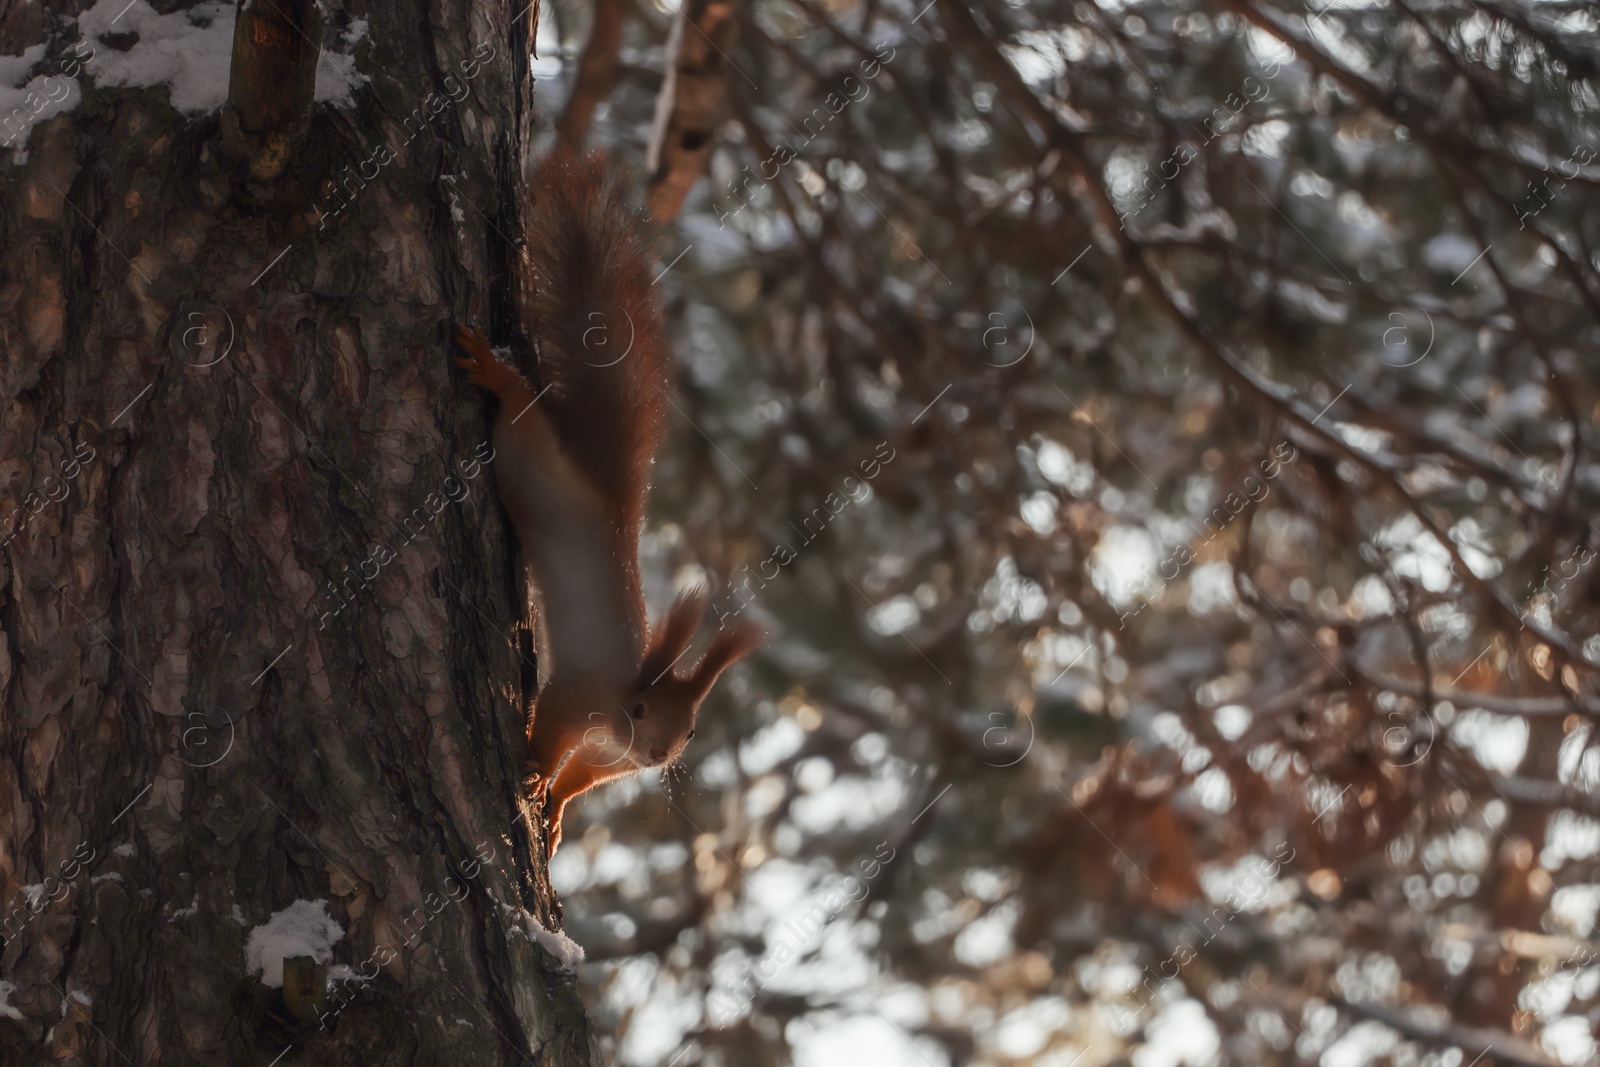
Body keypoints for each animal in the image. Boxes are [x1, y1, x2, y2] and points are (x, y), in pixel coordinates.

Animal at [454, 146, 758, 857]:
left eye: (691, 729)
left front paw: (557, 810)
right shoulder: (579, 696)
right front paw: (535, 769)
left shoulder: (607, 757)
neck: (619, 711)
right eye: (644, 710)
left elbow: (582, 777)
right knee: (520, 412)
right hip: (529, 460)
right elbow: (553, 728)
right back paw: (498, 373)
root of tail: (609, 499)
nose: (655, 756)